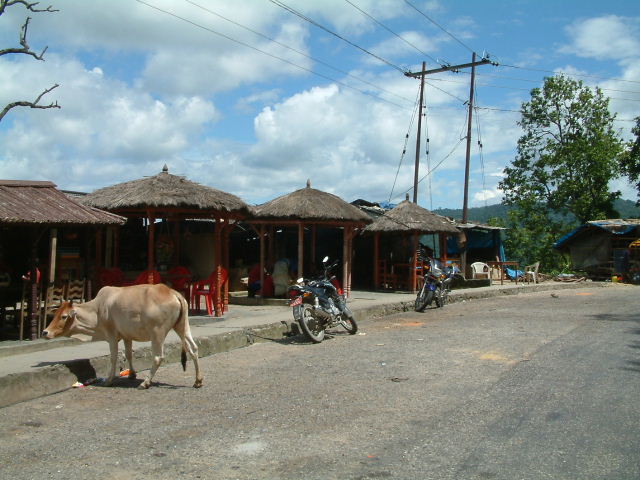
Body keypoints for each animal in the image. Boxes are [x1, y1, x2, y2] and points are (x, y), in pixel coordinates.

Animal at [43, 284, 202, 388]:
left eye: (64, 316)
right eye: (55, 314)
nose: (45, 332)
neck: (97, 309)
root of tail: (172, 292)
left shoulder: (112, 335)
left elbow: (113, 357)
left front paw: (109, 380)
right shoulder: (127, 336)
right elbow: (128, 354)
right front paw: (132, 374)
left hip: (157, 333)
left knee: (158, 357)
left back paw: (145, 383)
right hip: (182, 327)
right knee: (193, 349)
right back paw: (198, 381)